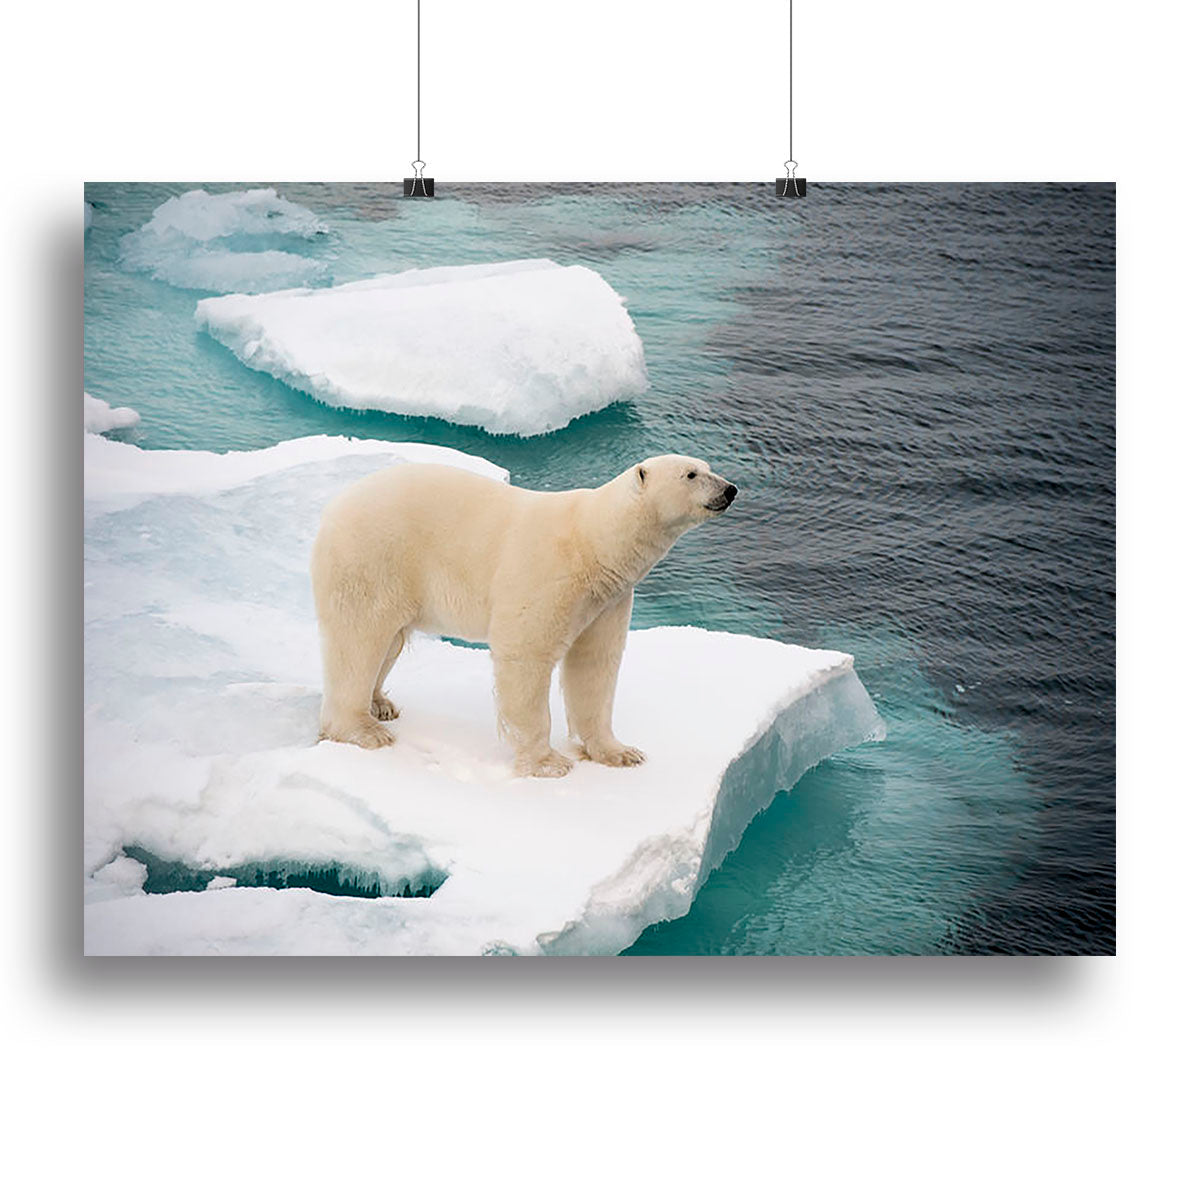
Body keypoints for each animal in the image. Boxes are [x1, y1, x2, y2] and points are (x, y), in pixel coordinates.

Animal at [310, 454, 738, 777]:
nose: (730, 489)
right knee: (360, 638)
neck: (593, 542)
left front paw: (620, 752)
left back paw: (381, 703)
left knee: (389, 641)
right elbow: (527, 654)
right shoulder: (549, 573)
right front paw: (548, 763)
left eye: (708, 465)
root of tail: (333, 507)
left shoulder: (607, 599)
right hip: (373, 557)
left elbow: (596, 665)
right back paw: (362, 729)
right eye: (691, 474)